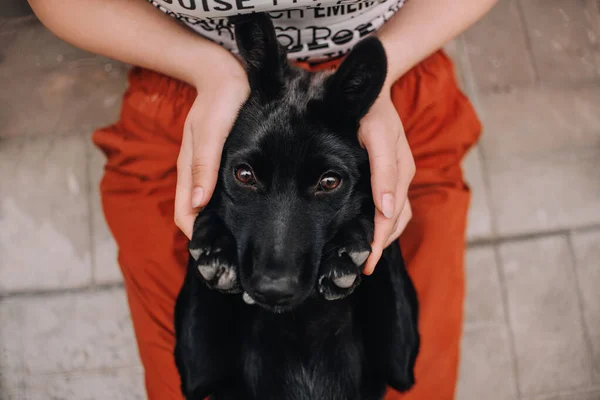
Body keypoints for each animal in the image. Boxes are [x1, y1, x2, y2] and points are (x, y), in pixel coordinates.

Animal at [173, 13, 418, 400]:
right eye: (244, 174)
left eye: (329, 182)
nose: (274, 289)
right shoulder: (199, 374)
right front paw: (215, 247)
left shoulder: (400, 365)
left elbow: (381, 224)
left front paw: (347, 251)